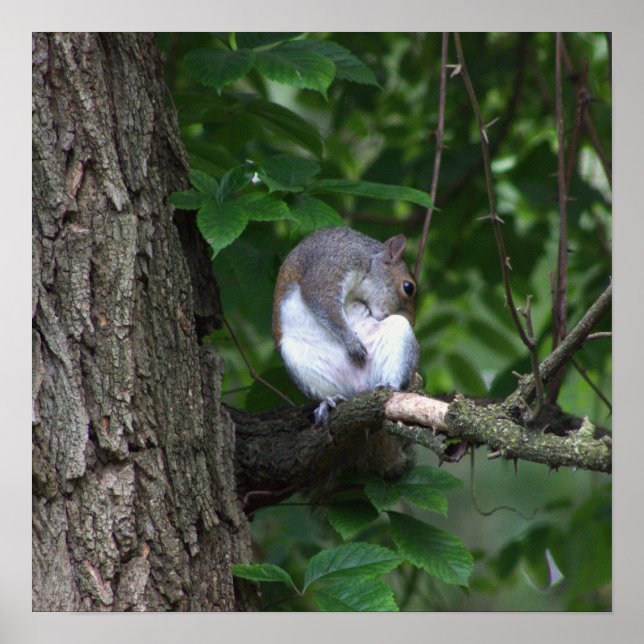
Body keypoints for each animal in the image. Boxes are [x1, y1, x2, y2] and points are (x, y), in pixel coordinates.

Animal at [272, 226, 420, 425]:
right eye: (408, 287)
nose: (412, 321)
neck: (370, 259)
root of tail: (361, 385)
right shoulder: (335, 262)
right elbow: (322, 301)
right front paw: (352, 342)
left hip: (398, 333)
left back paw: (390, 386)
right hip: (297, 357)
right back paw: (328, 402)